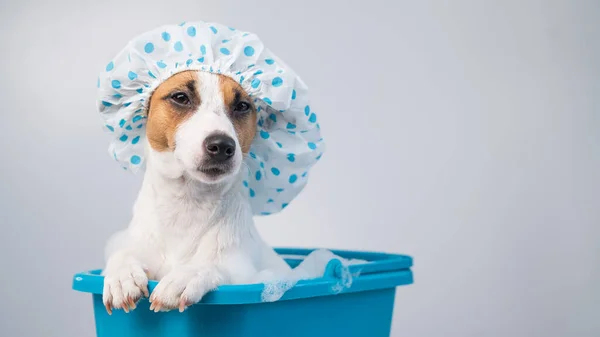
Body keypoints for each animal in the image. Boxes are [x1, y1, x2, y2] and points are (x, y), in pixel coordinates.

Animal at [102, 69, 292, 314]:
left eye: (242, 105)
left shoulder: (244, 273)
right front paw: (121, 276)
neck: (186, 202)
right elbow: (122, 252)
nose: (222, 146)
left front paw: (187, 276)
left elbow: (212, 265)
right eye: (181, 97)